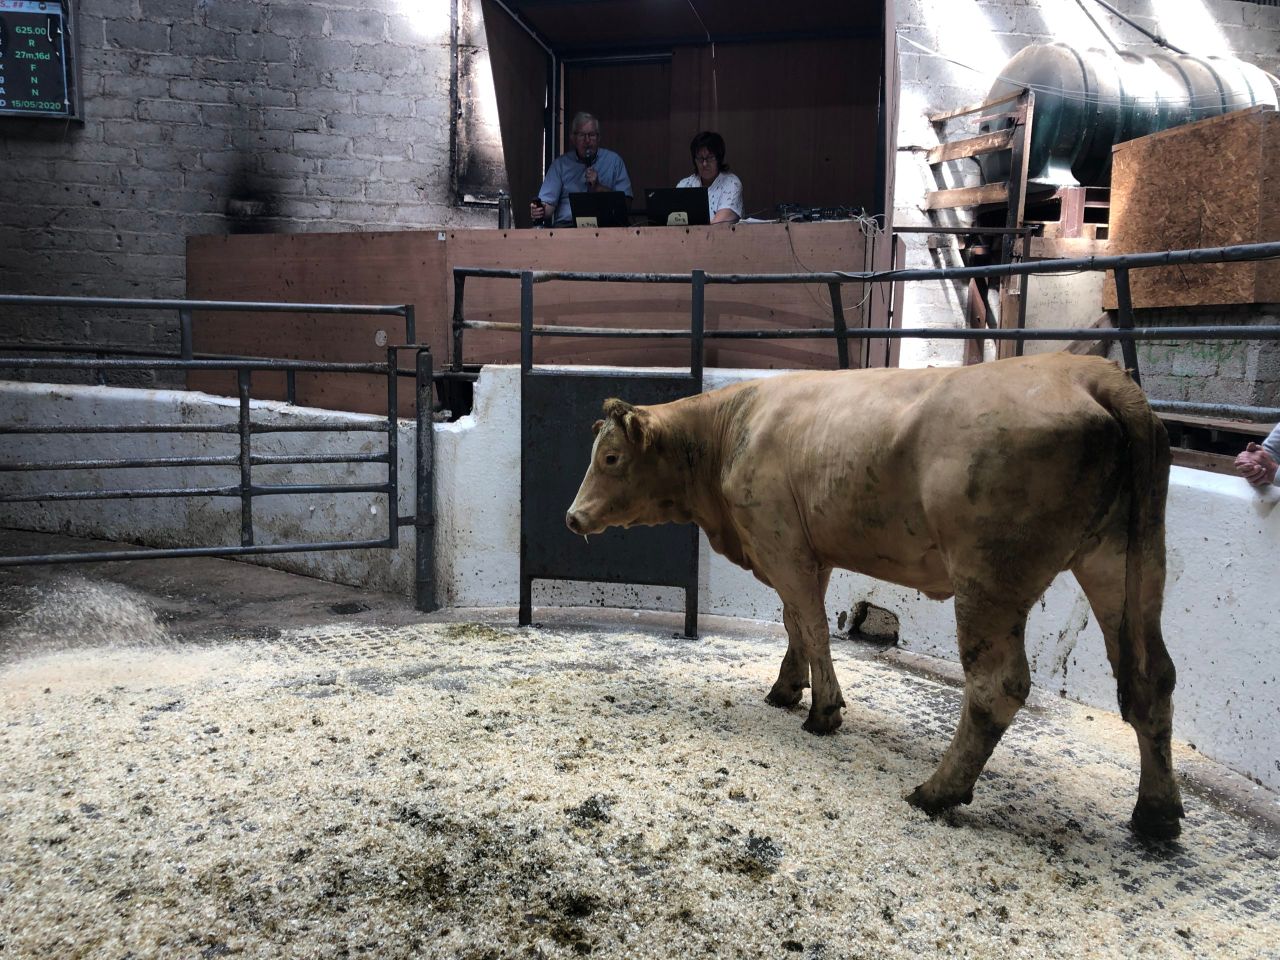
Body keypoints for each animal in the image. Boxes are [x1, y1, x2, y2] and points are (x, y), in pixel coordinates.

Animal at [565, 353, 1184, 840]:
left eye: (611, 458)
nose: (573, 517)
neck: (728, 430)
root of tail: (1091, 373)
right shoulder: (807, 552)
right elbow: (795, 622)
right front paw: (788, 688)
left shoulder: (781, 543)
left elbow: (813, 625)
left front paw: (823, 711)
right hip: (1121, 563)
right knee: (1152, 678)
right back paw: (1156, 814)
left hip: (990, 578)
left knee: (997, 685)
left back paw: (936, 792)